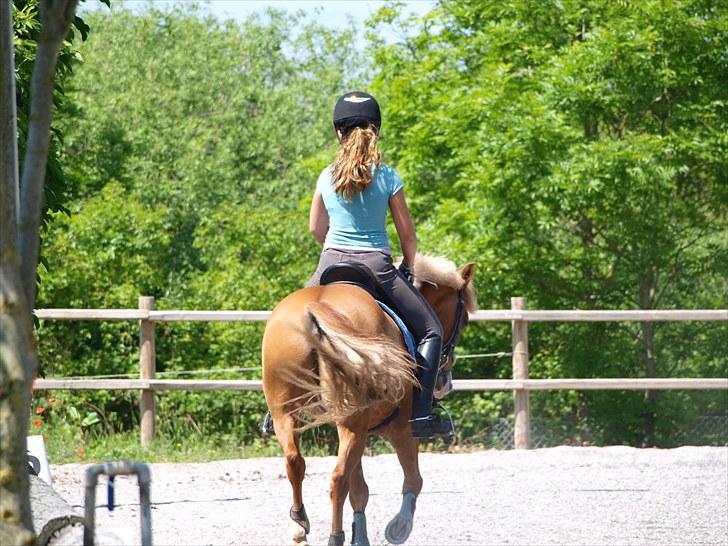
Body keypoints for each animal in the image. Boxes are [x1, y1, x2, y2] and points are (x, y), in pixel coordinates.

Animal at [262, 254, 476, 546]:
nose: (445, 382)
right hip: (356, 422)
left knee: (295, 462)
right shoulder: (400, 428)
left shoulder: (358, 429)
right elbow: (413, 480)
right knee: (338, 478)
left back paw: (299, 524)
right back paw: (335, 536)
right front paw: (399, 527)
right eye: (463, 320)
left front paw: (361, 536)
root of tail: (317, 307)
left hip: (289, 415)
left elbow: (359, 490)